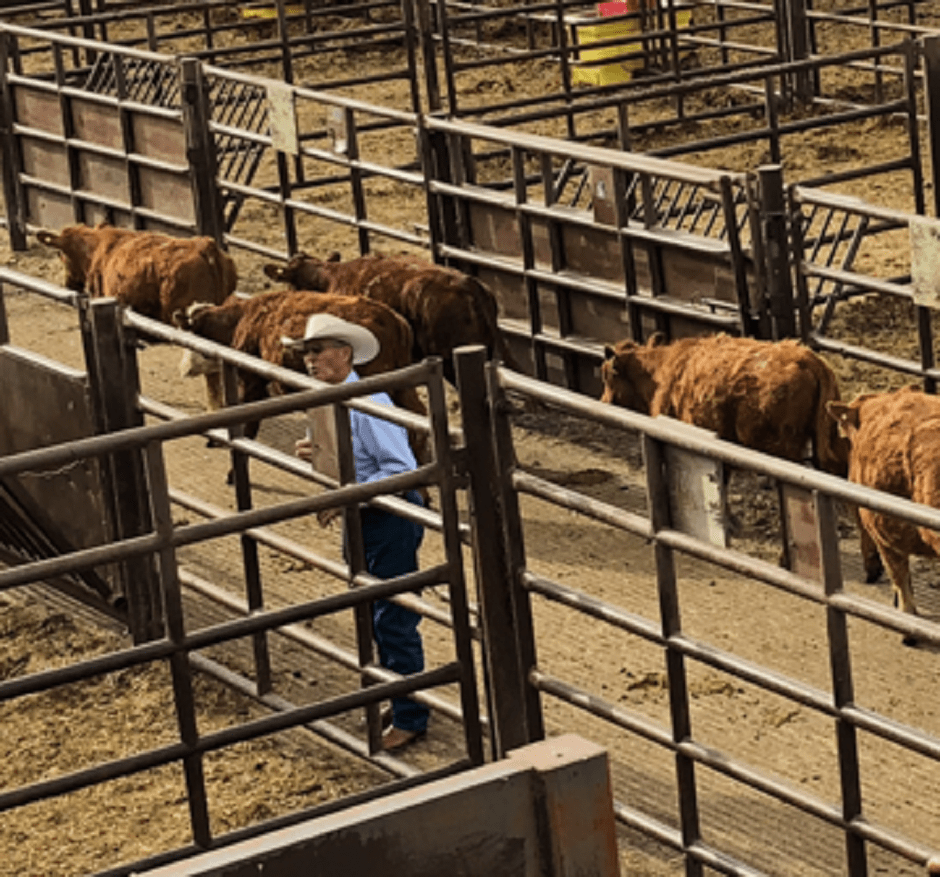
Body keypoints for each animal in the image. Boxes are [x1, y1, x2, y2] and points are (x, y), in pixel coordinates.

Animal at [174, 289, 428, 470]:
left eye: (193, 334)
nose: (184, 368)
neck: (245, 318)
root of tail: (394, 321)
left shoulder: (251, 383)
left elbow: (247, 427)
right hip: (402, 388)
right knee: (417, 418)